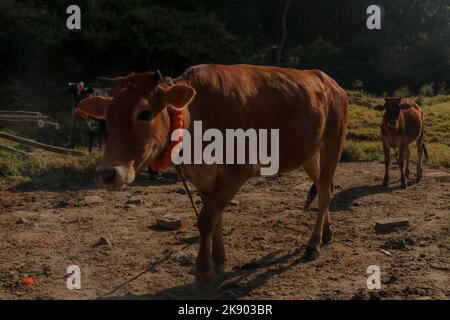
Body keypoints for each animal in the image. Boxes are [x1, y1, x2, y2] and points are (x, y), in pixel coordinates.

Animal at [91, 64, 348, 282]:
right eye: (107, 116)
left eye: (144, 113)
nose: (107, 174)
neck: (196, 117)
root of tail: (330, 82)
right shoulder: (202, 177)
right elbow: (215, 218)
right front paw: (218, 259)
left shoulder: (236, 172)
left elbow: (206, 219)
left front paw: (203, 270)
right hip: (308, 153)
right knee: (325, 186)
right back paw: (327, 232)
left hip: (333, 142)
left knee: (325, 191)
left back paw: (313, 244)